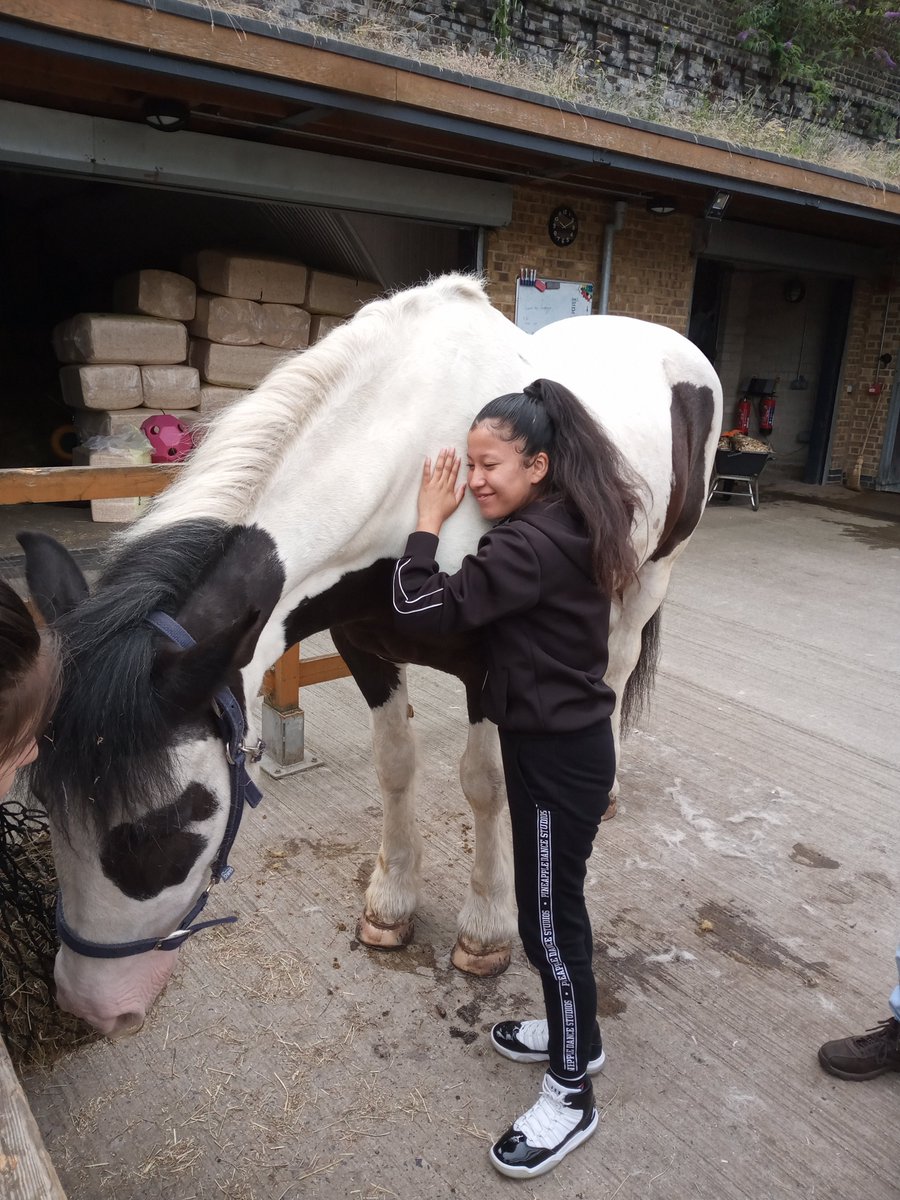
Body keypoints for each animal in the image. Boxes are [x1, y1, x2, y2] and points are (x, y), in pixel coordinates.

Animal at [21, 273, 722, 1038]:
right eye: (45, 802)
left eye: (165, 825)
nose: (94, 1007)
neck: (410, 466)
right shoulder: (366, 649)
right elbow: (394, 767)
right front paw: (391, 904)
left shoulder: (489, 668)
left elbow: (484, 783)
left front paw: (485, 930)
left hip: (654, 574)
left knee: (617, 668)